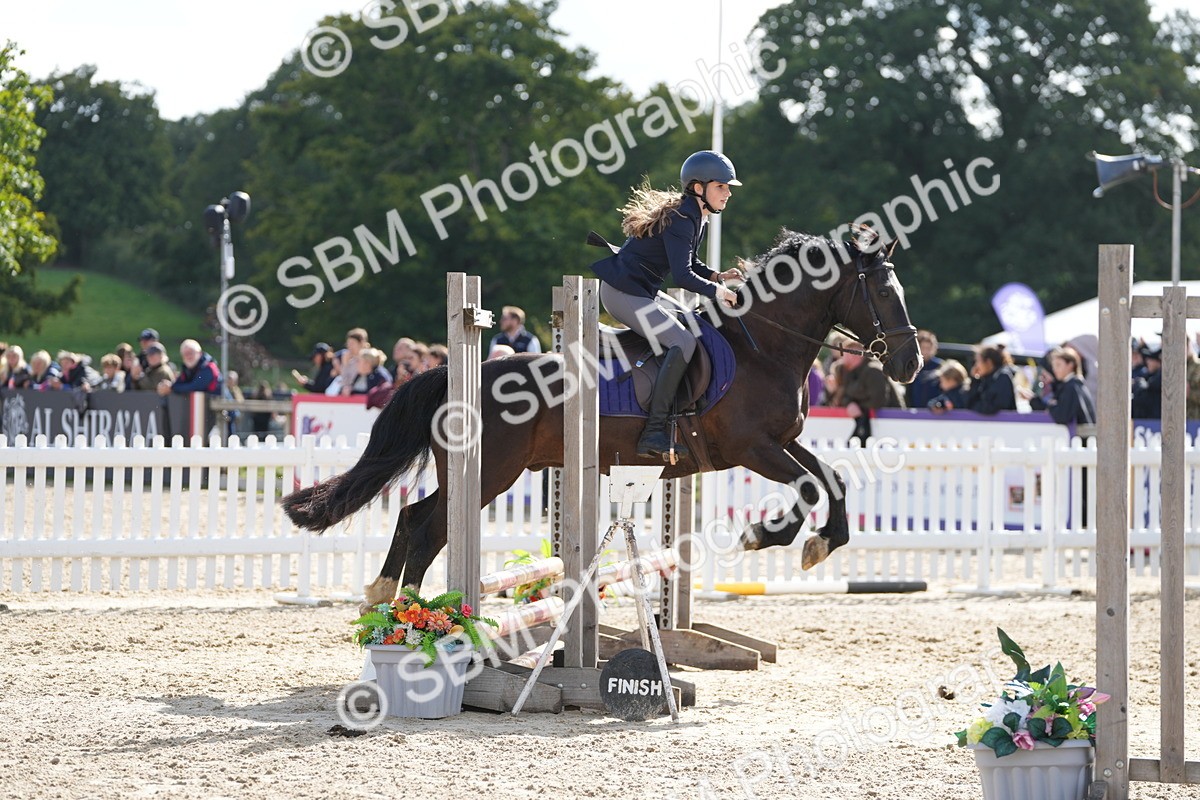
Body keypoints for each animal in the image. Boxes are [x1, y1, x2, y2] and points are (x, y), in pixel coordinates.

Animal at [282, 231, 923, 607]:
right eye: (883, 294)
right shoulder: (751, 448)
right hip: (489, 474)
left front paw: (821, 542)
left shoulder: (781, 441)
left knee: (414, 517)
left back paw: (382, 596)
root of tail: (453, 373)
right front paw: (769, 535)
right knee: (428, 529)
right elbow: (811, 485)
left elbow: (831, 478)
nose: (911, 363)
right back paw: (410, 615)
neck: (761, 346)